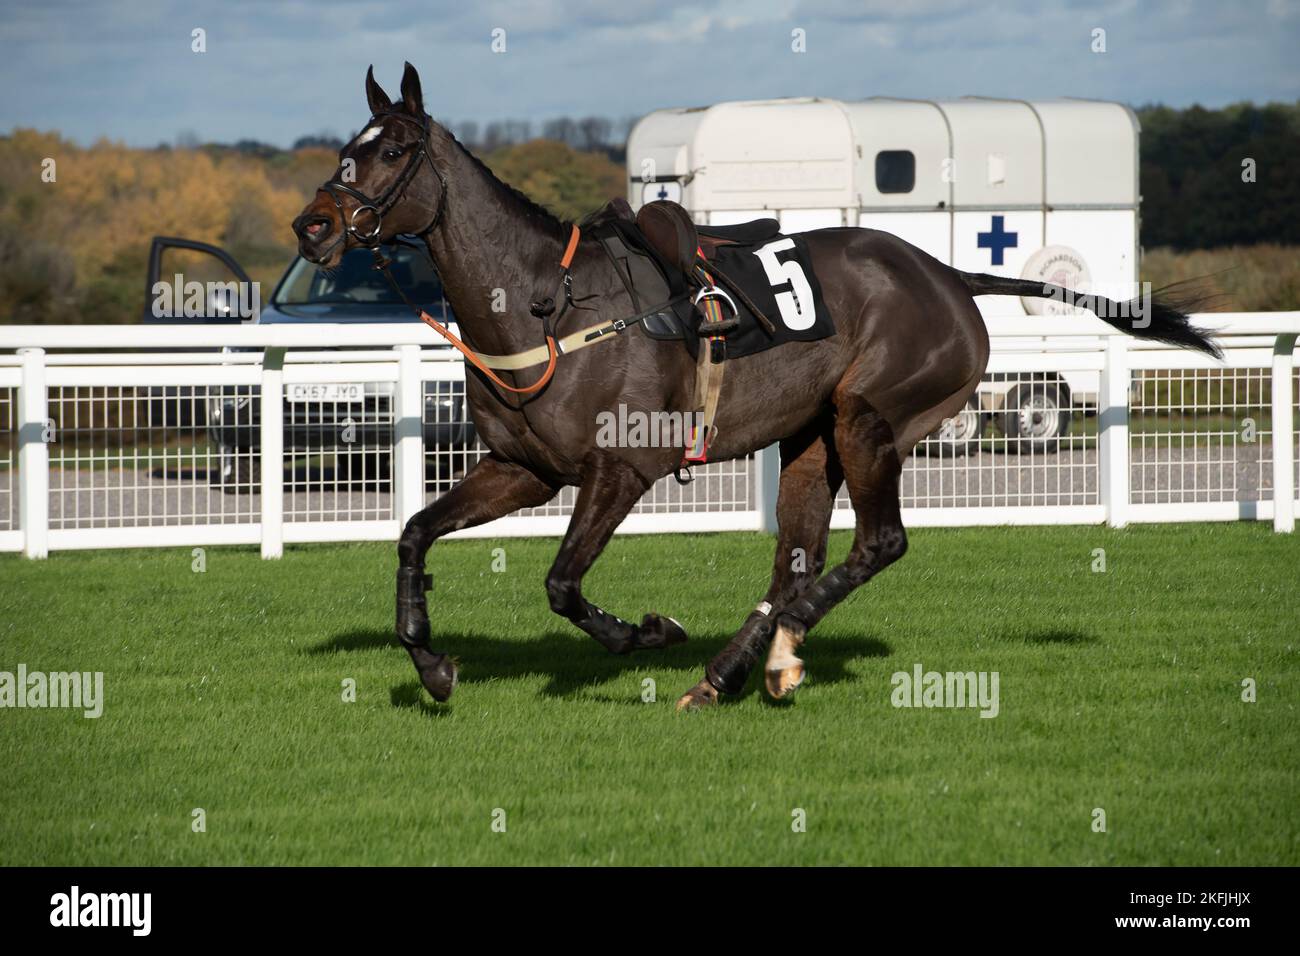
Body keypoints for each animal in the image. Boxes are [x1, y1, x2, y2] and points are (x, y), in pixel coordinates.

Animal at [292, 63, 1216, 712]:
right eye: (345, 147)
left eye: (394, 150)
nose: (313, 223)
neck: (544, 304)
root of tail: (950, 275)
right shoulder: (523, 469)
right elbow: (414, 534)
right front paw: (431, 661)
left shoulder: (622, 468)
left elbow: (562, 584)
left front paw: (645, 631)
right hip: (812, 439)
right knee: (795, 564)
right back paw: (733, 669)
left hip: (872, 417)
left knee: (877, 544)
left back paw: (767, 656)